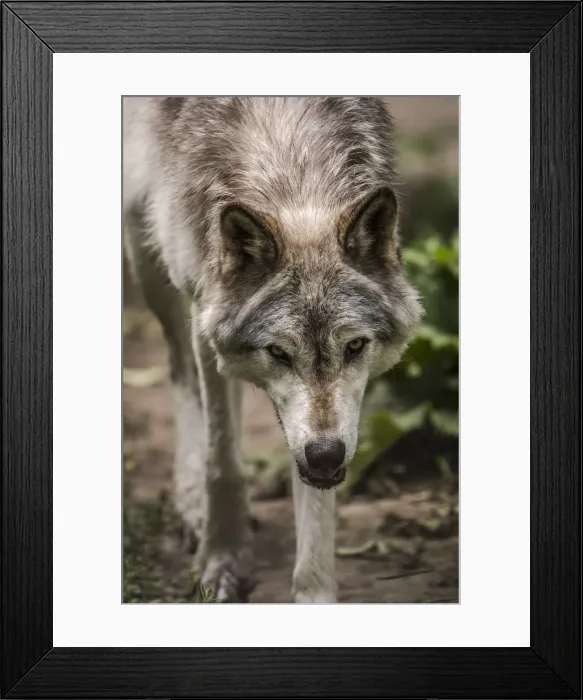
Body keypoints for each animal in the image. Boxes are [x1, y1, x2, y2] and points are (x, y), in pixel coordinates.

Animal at [123, 97, 422, 603]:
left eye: (355, 346)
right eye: (279, 352)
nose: (325, 455)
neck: (290, 168)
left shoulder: (328, 437)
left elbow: (317, 501)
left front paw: (314, 593)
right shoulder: (201, 304)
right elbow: (222, 461)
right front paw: (222, 562)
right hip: (147, 251)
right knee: (181, 373)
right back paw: (193, 507)